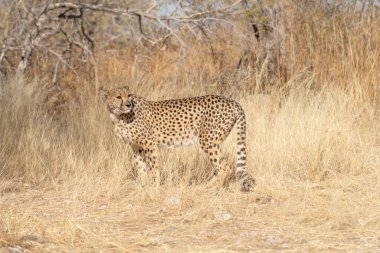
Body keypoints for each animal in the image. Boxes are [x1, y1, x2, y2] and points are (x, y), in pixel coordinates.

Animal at [101, 86, 254, 191]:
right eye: (118, 97)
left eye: (129, 95)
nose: (128, 104)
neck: (118, 115)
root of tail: (232, 101)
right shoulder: (136, 146)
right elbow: (140, 167)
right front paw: (143, 185)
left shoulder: (150, 143)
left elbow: (153, 167)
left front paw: (154, 186)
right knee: (220, 167)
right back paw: (205, 186)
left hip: (208, 140)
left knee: (224, 168)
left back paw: (207, 189)